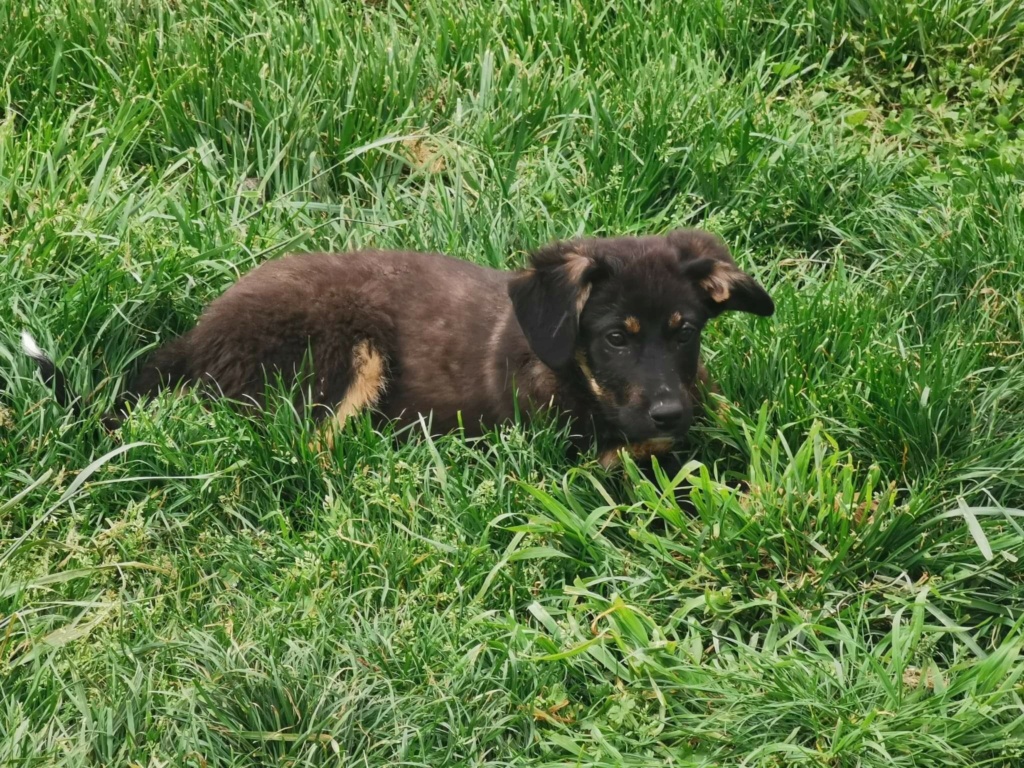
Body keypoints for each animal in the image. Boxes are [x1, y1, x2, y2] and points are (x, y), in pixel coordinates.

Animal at [19, 228, 770, 466]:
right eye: (616, 337)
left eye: (686, 331)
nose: (671, 411)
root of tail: (199, 337)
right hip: (342, 350)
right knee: (306, 446)